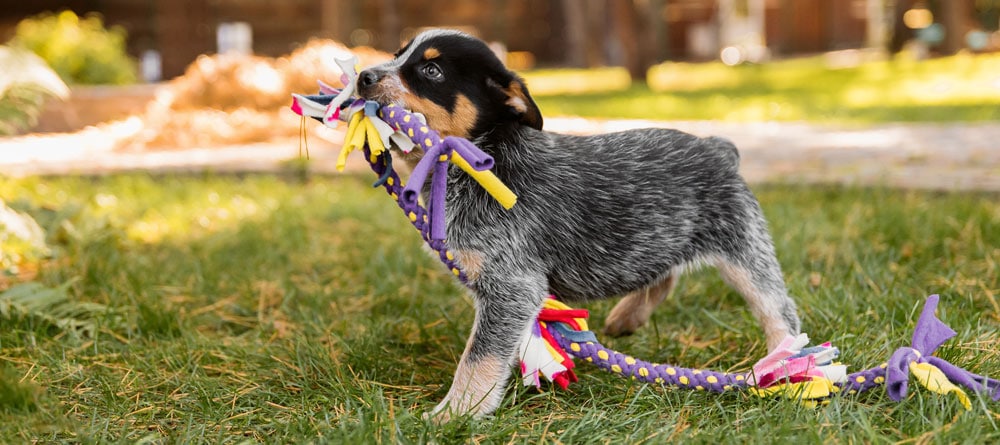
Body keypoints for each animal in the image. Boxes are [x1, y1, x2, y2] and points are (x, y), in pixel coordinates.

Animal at [356, 29, 800, 422]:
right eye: (397, 55)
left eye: (431, 71)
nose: (363, 76)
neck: (483, 158)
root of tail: (718, 147)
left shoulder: (513, 286)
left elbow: (478, 358)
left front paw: (454, 414)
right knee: (664, 273)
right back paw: (629, 315)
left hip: (743, 248)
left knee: (779, 311)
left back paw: (786, 369)